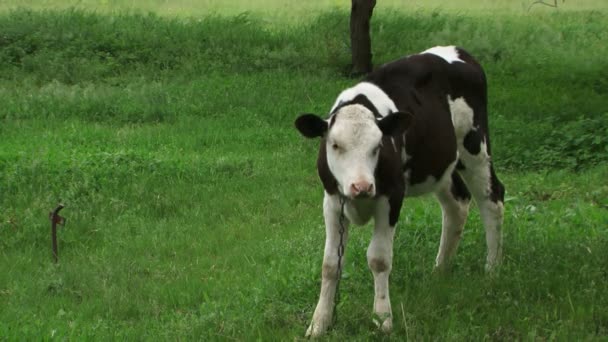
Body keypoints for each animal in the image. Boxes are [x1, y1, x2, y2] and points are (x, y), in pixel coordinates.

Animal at [296, 46, 506, 336]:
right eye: (335, 145)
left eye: (377, 146)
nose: (362, 186)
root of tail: (459, 52)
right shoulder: (332, 199)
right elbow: (330, 264)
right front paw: (320, 323)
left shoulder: (391, 196)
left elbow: (379, 258)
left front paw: (383, 318)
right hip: (442, 163)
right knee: (457, 205)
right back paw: (440, 271)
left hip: (475, 147)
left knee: (492, 201)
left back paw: (492, 270)